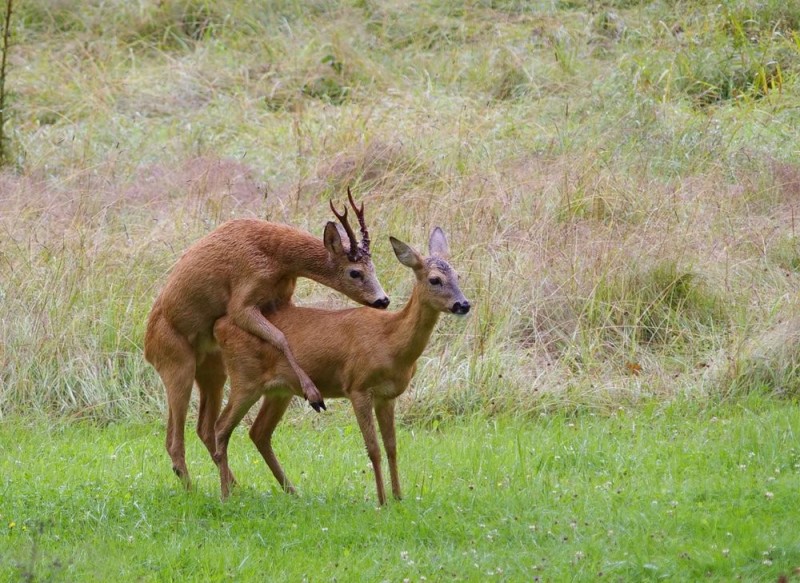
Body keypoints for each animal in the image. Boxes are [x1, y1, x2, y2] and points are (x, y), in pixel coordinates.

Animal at [148, 192, 394, 488]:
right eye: (354, 272)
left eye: (374, 267)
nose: (383, 300)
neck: (278, 259)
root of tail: (147, 347)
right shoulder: (242, 301)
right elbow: (281, 337)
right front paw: (313, 395)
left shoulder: (282, 299)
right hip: (177, 363)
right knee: (174, 440)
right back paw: (193, 487)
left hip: (212, 368)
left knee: (203, 428)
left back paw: (233, 485)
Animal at [212, 228, 472, 506]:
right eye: (435, 279)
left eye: (457, 275)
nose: (463, 304)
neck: (391, 342)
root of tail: (219, 325)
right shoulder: (358, 386)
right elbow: (373, 449)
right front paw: (382, 501)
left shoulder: (387, 396)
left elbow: (392, 447)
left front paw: (399, 497)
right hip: (244, 378)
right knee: (221, 427)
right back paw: (225, 495)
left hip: (280, 390)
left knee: (258, 432)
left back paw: (292, 492)